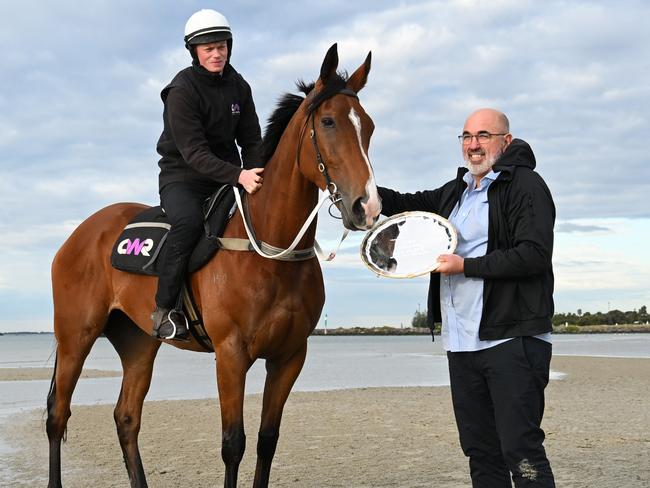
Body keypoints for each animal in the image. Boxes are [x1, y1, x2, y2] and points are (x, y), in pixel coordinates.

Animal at [46, 43, 380, 488]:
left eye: (369, 127)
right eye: (328, 121)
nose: (367, 206)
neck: (270, 253)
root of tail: (78, 235)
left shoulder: (290, 356)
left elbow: (266, 440)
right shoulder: (231, 354)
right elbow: (233, 444)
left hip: (138, 344)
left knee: (126, 418)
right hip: (75, 336)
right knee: (57, 414)